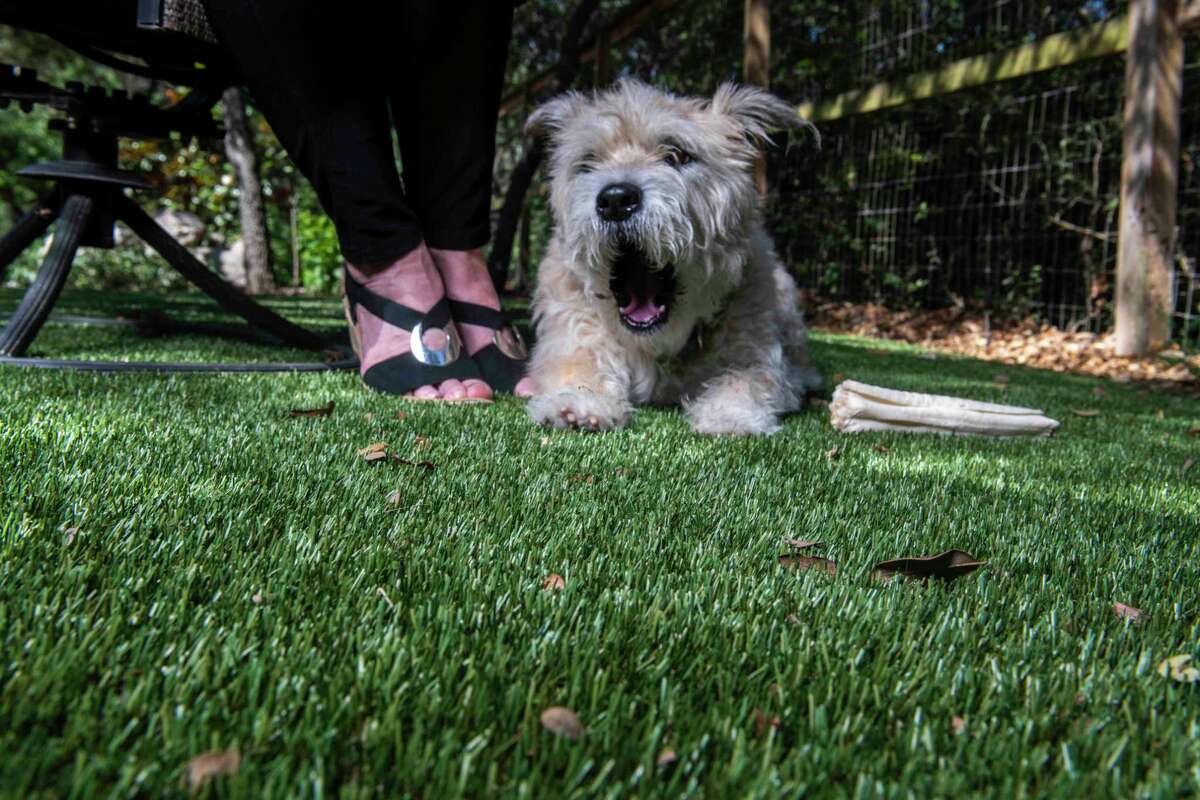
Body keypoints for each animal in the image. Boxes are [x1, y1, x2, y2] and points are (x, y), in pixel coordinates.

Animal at [523, 77, 816, 434]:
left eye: (677, 155)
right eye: (588, 162)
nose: (616, 200)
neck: (656, 345)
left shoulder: (752, 338)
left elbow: (750, 377)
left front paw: (731, 412)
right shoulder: (573, 324)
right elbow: (579, 360)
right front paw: (580, 401)